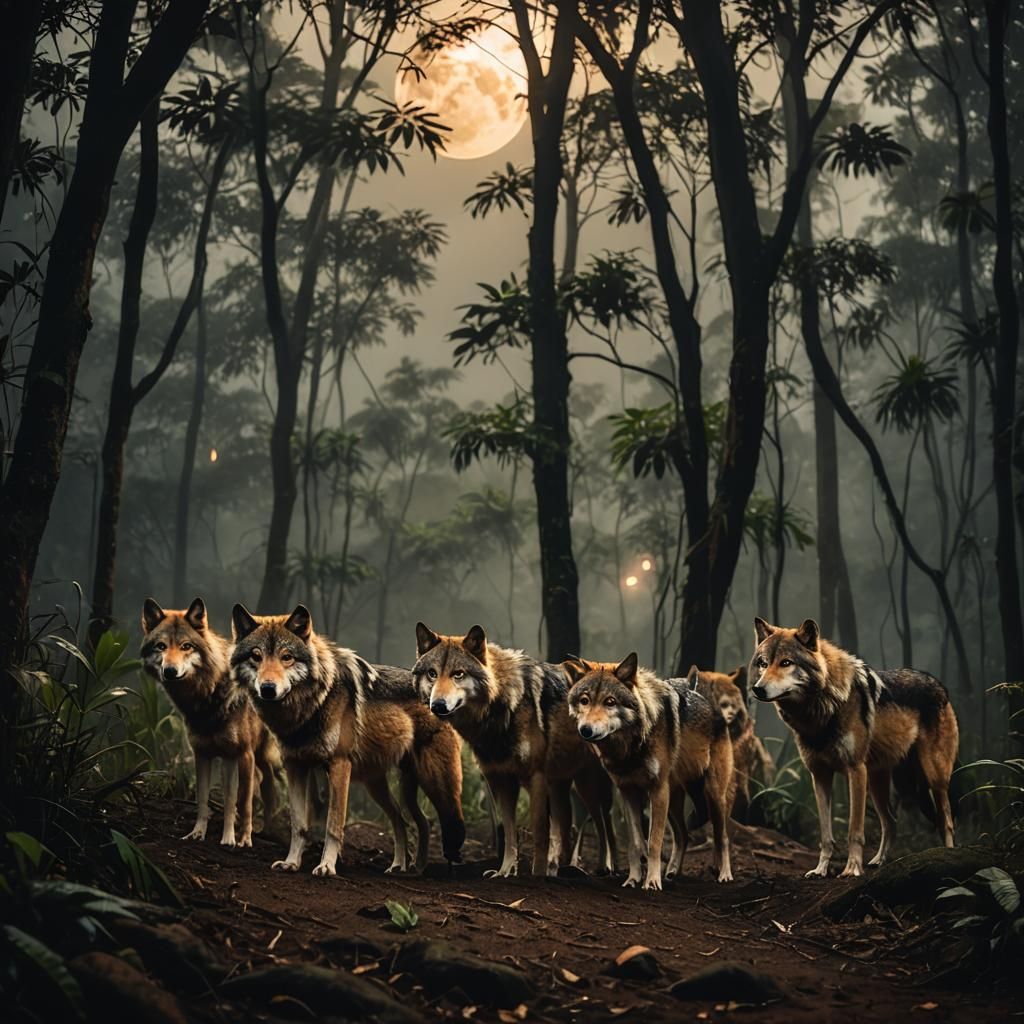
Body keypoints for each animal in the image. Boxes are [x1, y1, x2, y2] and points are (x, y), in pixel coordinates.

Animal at [141, 597, 279, 847]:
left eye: (186, 646)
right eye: (161, 646)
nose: (170, 671)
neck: (207, 696)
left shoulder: (242, 753)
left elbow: (242, 801)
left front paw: (240, 839)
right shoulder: (204, 755)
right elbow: (204, 800)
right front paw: (198, 833)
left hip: (261, 755)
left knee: (267, 788)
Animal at [230, 604, 464, 877]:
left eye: (286, 657)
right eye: (256, 656)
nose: (268, 688)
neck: (310, 707)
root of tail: (440, 697)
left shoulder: (339, 765)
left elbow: (333, 825)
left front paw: (327, 866)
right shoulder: (295, 767)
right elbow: (299, 825)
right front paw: (291, 862)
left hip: (436, 784)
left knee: (447, 825)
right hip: (380, 786)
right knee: (409, 822)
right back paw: (405, 866)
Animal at [413, 623, 616, 878]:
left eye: (458, 674)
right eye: (432, 673)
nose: (438, 705)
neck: (503, 706)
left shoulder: (536, 778)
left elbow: (539, 831)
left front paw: (537, 874)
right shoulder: (500, 780)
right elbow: (509, 831)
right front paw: (505, 871)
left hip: (590, 787)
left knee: (604, 825)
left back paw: (604, 867)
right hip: (564, 786)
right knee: (571, 826)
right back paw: (563, 868)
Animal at [565, 654, 735, 889]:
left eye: (610, 702)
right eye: (584, 700)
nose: (586, 730)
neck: (630, 747)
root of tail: (704, 698)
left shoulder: (657, 790)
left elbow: (654, 841)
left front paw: (652, 882)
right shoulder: (627, 792)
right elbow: (636, 843)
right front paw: (633, 878)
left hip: (711, 795)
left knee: (723, 837)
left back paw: (724, 874)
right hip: (674, 801)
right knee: (683, 835)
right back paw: (673, 871)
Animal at [749, 617, 959, 878]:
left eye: (786, 663)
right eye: (763, 663)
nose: (757, 689)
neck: (820, 711)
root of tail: (939, 684)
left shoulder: (855, 770)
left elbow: (854, 831)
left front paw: (851, 869)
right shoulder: (819, 775)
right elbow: (825, 835)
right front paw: (820, 869)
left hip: (933, 777)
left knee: (946, 821)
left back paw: (948, 855)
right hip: (879, 782)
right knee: (891, 822)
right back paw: (878, 861)